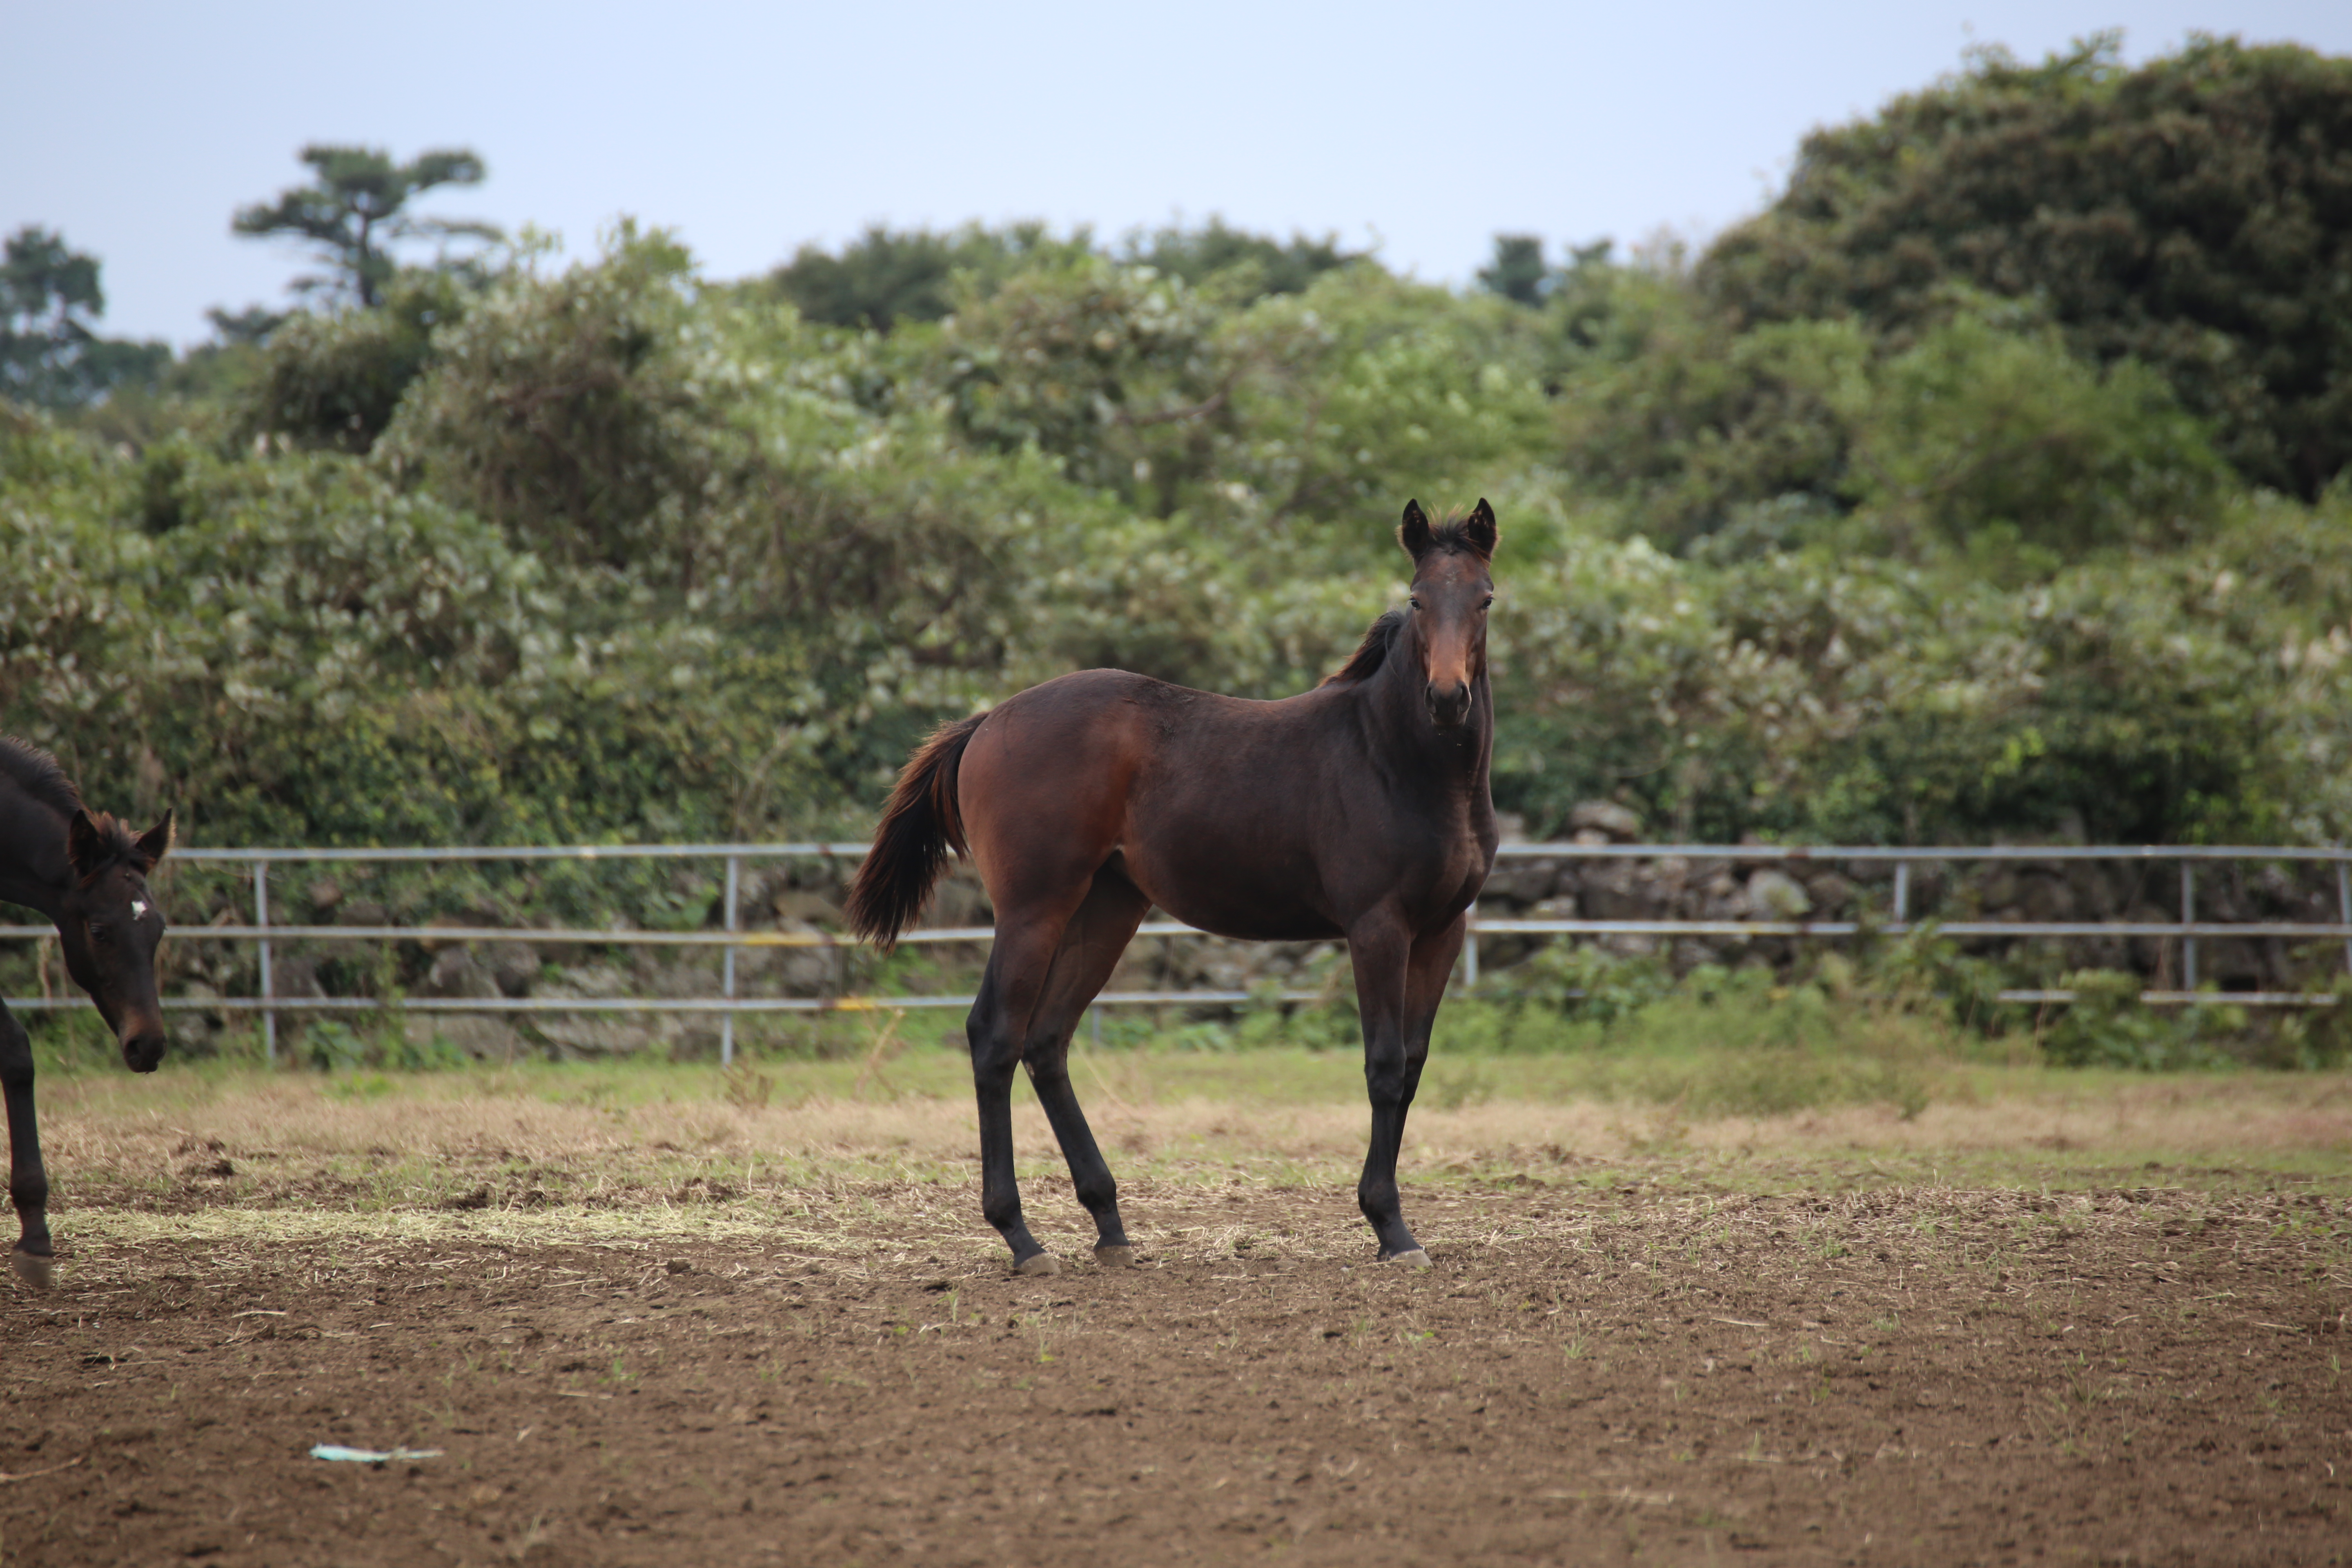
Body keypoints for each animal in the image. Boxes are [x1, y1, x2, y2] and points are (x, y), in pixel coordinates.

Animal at [856, 503, 1496, 1278]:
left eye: (1486, 599)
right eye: (1417, 599)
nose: (1447, 699)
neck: (1399, 761)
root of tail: (986, 723)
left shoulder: (1442, 930)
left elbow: (1414, 1066)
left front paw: (1394, 1226)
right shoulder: (1377, 927)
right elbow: (1383, 1065)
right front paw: (1390, 1228)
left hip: (1108, 909)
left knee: (1047, 1041)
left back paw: (1109, 1224)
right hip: (1034, 909)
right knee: (994, 1036)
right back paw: (1023, 1238)